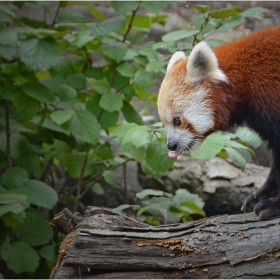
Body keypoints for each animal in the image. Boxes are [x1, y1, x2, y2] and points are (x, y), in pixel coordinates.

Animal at [159, 26, 280, 221]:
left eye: (177, 121)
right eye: (164, 123)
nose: (171, 145)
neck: (246, 79)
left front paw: (272, 205)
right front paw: (261, 194)